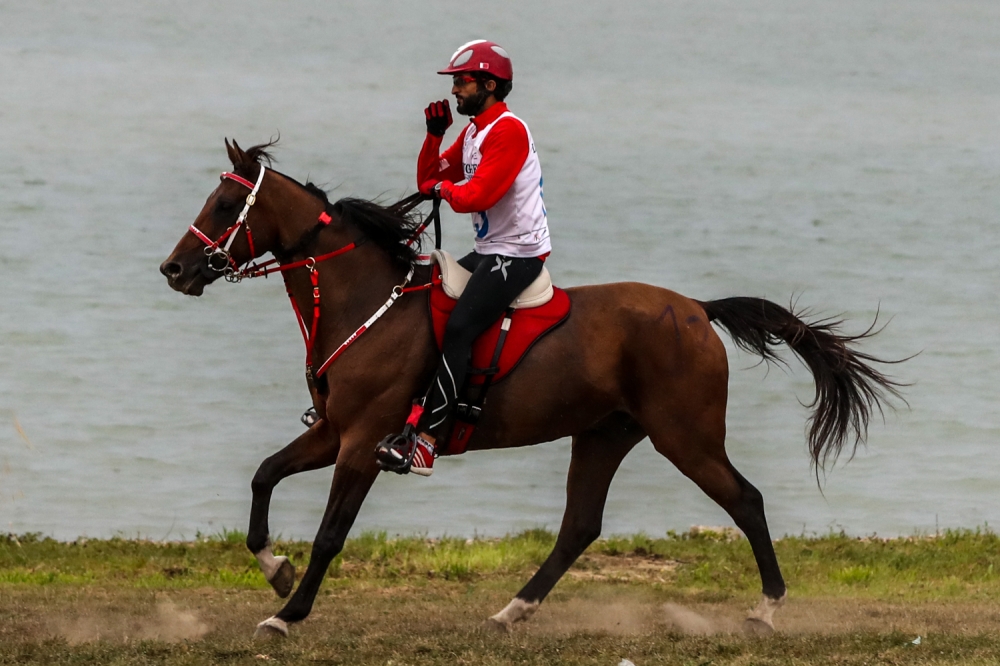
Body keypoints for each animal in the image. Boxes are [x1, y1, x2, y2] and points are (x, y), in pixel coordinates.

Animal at [160, 139, 904, 632]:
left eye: (226, 202)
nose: (174, 269)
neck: (368, 303)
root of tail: (696, 308)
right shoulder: (333, 432)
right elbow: (263, 476)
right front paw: (274, 568)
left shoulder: (363, 441)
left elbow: (330, 534)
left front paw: (289, 612)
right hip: (605, 434)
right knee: (580, 525)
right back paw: (512, 609)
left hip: (685, 437)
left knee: (745, 501)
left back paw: (768, 608)